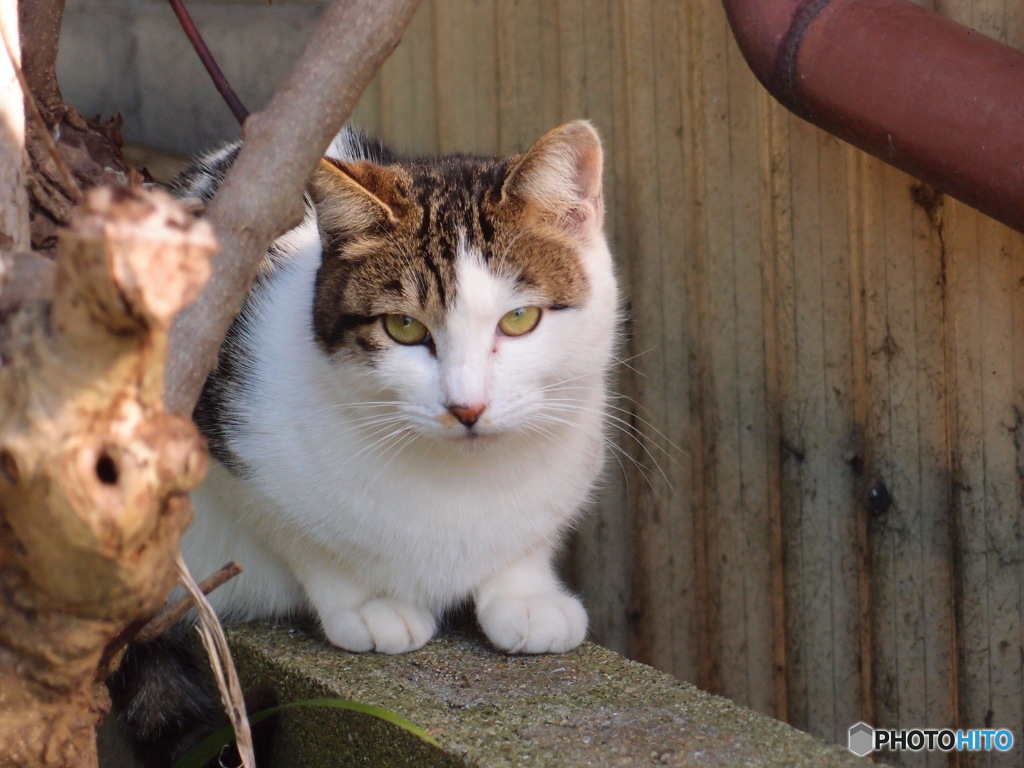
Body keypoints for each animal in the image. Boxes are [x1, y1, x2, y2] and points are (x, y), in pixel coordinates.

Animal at [173, 120, 618, 655]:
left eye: (519, 318)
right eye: (404, 327)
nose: (467, 407)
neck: (461, 483)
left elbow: (530, 539)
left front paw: (525, 595)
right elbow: (298, 536)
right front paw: (369, 602)